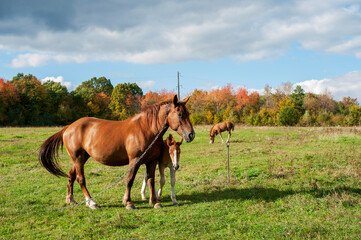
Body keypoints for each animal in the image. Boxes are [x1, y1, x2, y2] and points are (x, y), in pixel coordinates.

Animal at [38, 94, 194, 209]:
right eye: (180, 115)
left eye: (188, 113)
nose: (191, 135)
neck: (146, 129)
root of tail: (69, 127)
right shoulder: (134, 160)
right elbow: (130, 180)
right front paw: (128, 202)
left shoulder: (151, 161)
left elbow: (151, 180)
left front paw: (155, 202)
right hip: (78, 158)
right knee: (80, 179)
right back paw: (91, 202)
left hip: (81, 157)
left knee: (71, 175)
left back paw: (71, 200)